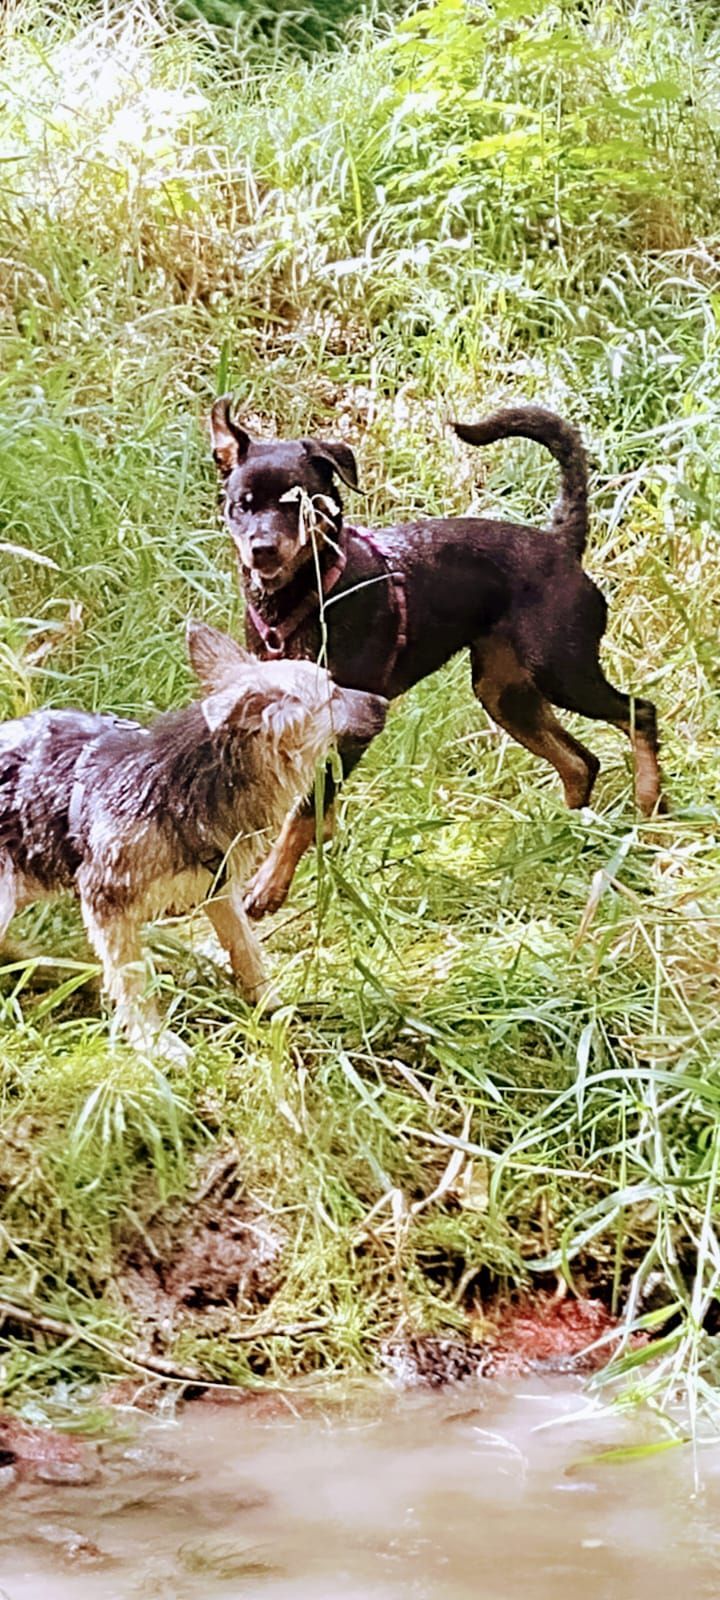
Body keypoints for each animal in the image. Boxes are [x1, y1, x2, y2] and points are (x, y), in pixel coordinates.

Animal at [0, 622, 386, 1057]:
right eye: (333, 694)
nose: (385, 702)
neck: (194, 782)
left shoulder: (219, 888)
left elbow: (245, 948)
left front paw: (270, 1005)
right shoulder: (106, 900)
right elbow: (131, 977)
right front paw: (154, 1041)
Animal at [210, 398, 663, 920]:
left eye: (300, 503)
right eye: (241, 505)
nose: (262, 549)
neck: (307, 597)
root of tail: (561, 545)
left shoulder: (352, 723)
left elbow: (305, 812)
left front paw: (269, 886)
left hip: (562, 671)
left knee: (640, 714)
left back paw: (649, 808)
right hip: (505, 694)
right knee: (580, 762)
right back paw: (564, 838)